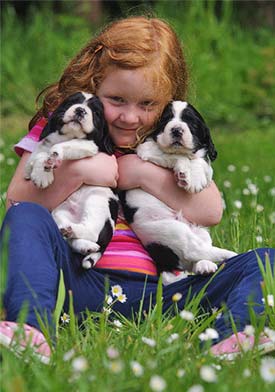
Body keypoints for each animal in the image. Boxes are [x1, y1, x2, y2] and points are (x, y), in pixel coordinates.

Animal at [26, 92, 119, 270]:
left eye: (96, 112)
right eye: (72, 102)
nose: (80, 110)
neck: (68, 134)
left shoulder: (89, 145)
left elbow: (67, 145)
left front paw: (53, 156)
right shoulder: (45, 144)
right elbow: (39, 154)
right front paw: (40, 173)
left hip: (97, 201)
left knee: (92, 231)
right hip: (59, 212)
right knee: (73, 239)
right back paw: (82, 243)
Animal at [120, 101, 237, 278]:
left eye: (191, 123)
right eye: (166, 120)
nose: (176, 129)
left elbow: (201, 162)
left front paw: (195, 177)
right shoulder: (147, 149)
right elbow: (176, 156)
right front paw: (185, 172)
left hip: (200, 230)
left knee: (199, 253)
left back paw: (205, 265)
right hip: (171, 230)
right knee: (194, 249)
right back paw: (233, 254)